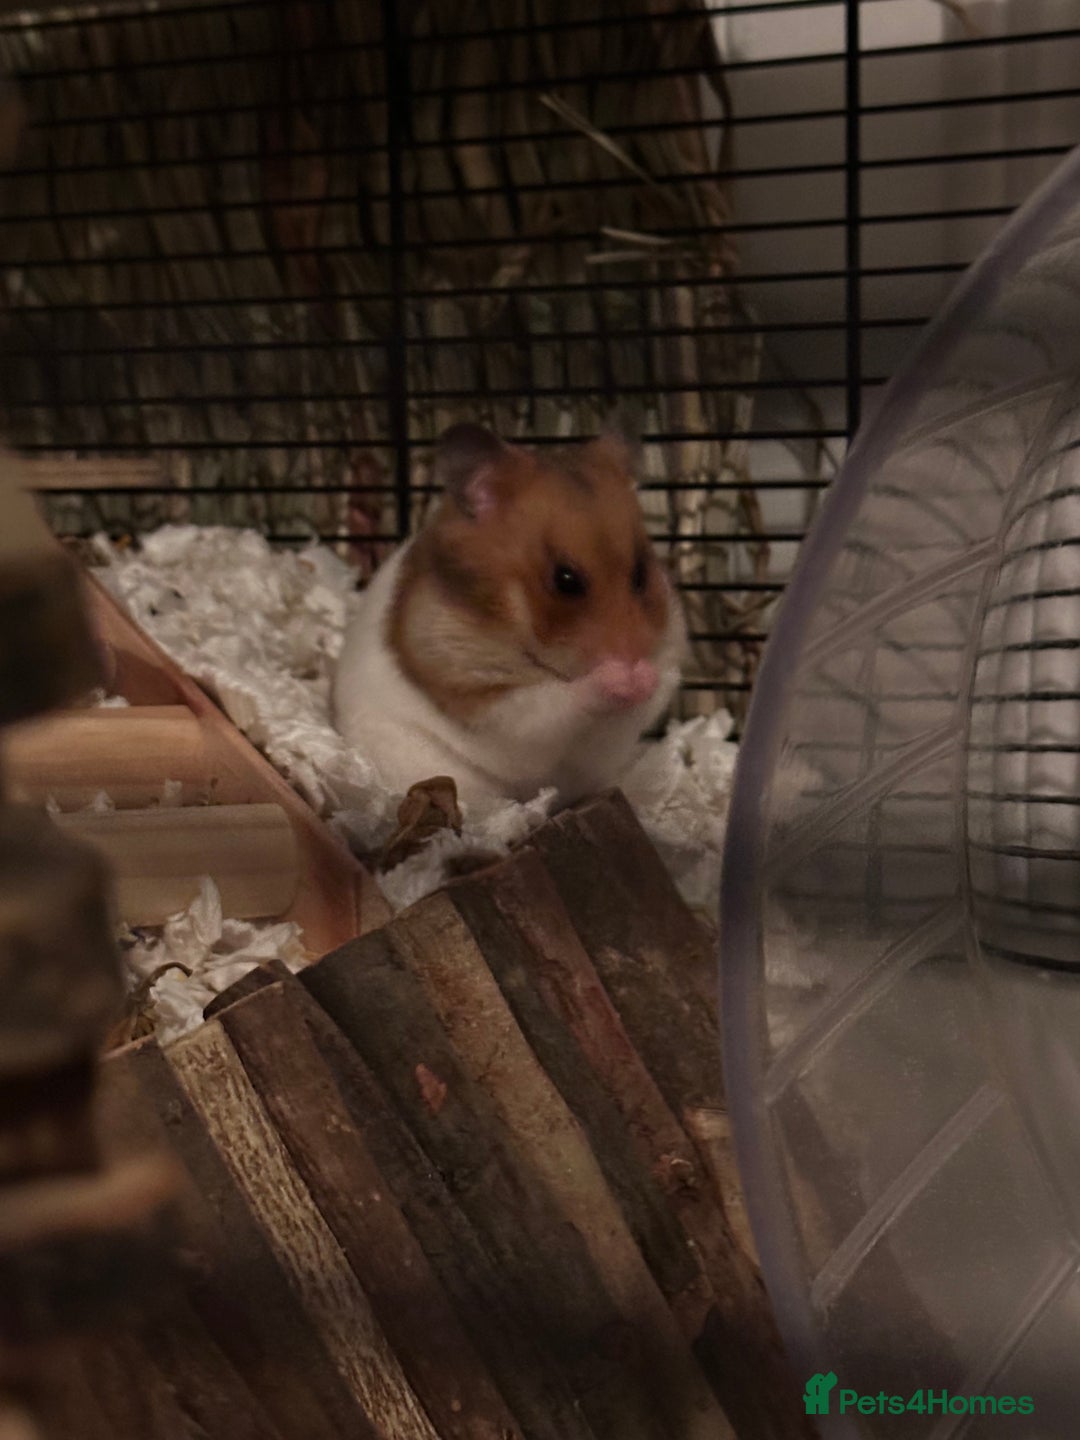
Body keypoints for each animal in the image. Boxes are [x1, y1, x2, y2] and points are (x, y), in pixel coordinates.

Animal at [333, 423, 687, 806]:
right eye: (565, 580)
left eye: (640, 574)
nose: (631, 656)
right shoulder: (487, 701)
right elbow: (555, 704)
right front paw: (621, 676)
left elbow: (641, 703)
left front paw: (644, 676)